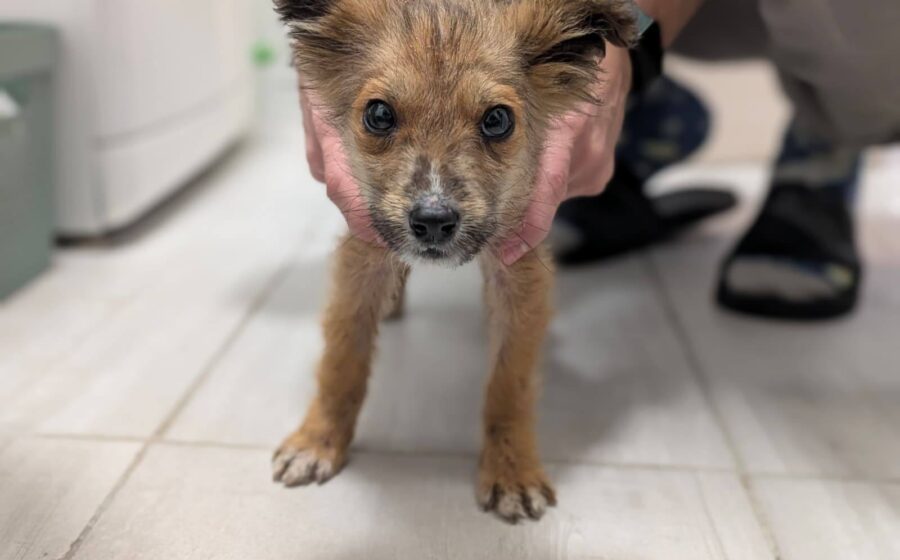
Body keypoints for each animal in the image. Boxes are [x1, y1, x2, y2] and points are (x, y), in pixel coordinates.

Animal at [271, 0, 636, 523]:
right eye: (379, 114)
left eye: (497, 120)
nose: (433, 221)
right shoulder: (363, 250)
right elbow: (343, 357)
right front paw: (318, 440)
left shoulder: (519, 265)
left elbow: (509, 381)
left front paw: (511, 470)